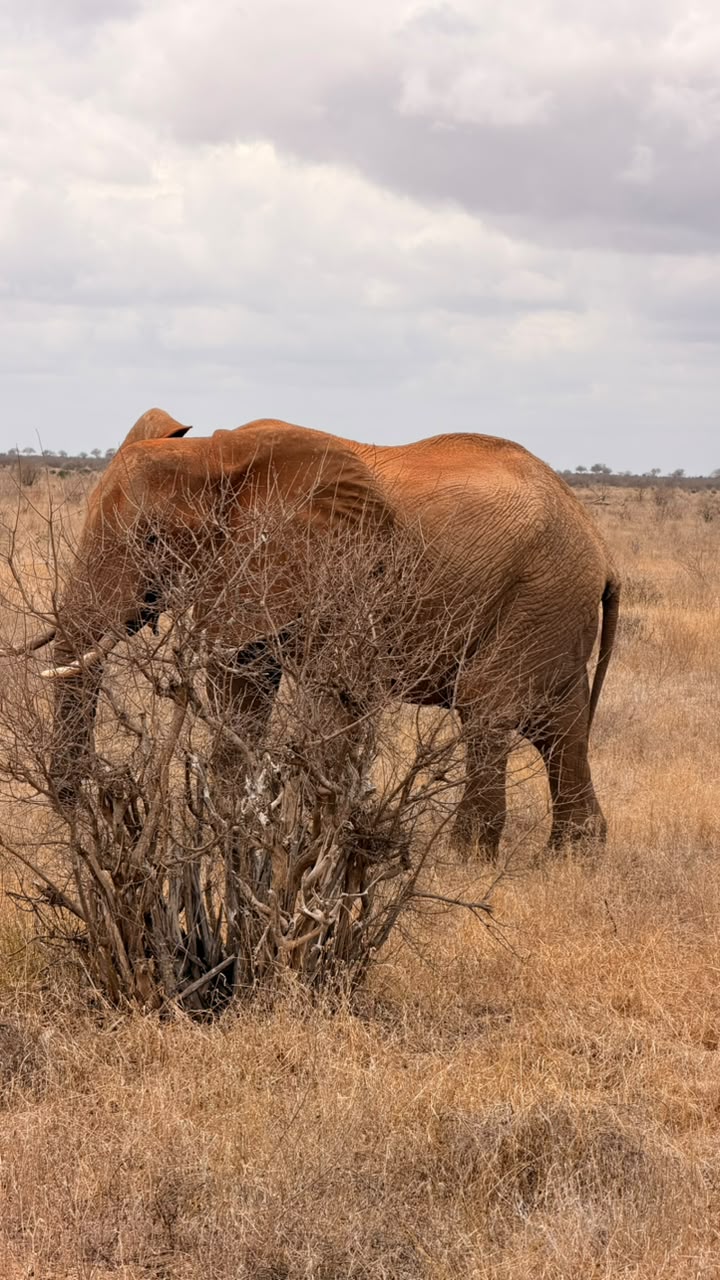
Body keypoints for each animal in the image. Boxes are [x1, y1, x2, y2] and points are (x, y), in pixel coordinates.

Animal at [36, 407, 619, 857]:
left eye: (153, 540)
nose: (88, 801)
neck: (212, 455)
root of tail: (601, 547)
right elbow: (242, 692)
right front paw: (233, 833)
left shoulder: (338, 574)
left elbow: (331, 699)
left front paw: (313, 842)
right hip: (553, 604)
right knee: (560, 726)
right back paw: (574, 857)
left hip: (540, 591)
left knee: (488, 710)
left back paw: (467, 859)